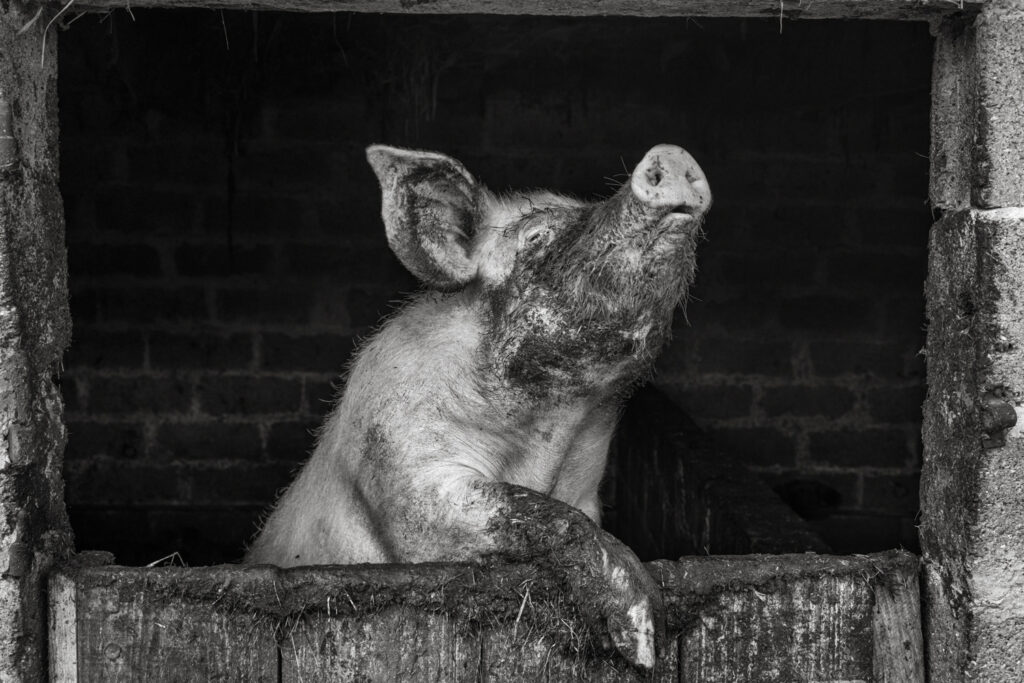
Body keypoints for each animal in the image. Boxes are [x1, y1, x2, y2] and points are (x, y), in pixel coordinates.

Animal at [245, 143, 711, 670]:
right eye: (536, 235)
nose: (671, 154)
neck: (552, 430)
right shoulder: (404, 473)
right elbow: (533, 511)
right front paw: (645, 640)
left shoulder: (584, 490)